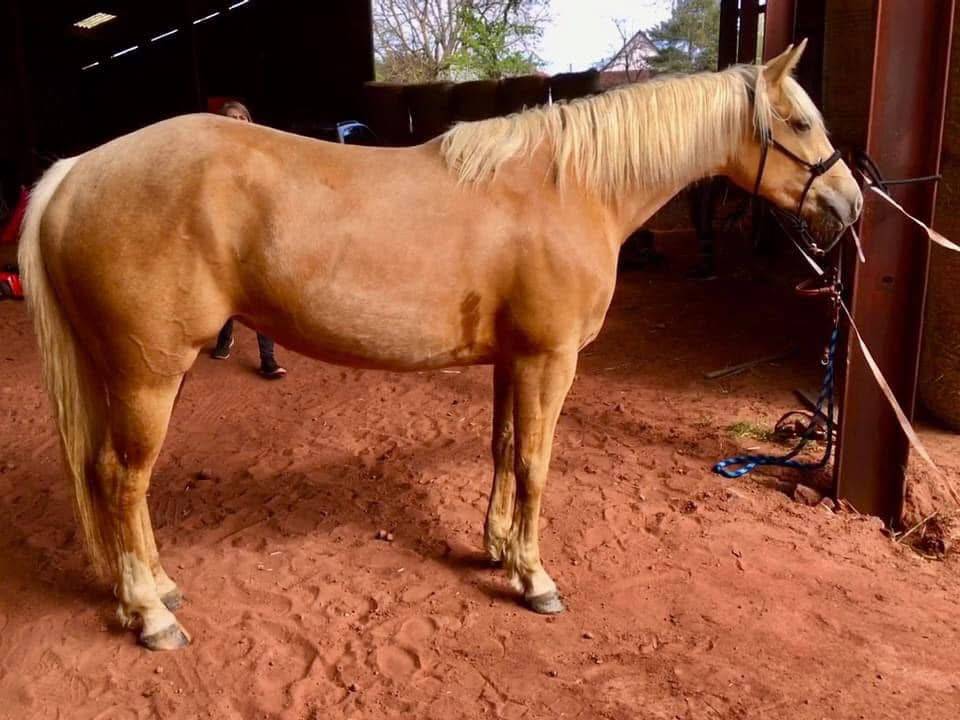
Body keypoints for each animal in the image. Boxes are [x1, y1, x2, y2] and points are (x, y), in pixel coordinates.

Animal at [19, 41, 861, 650]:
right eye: (799, 124)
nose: (849, 204)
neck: (567, 187)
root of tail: (74, 174)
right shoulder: (550, 360)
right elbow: (535, 463)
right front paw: (534, 578)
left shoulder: (513, 360)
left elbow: (502, 450)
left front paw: (497, 549)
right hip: (147, 376)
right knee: (121, 480)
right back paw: (152, 615)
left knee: (114, 483)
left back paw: (156, 591)